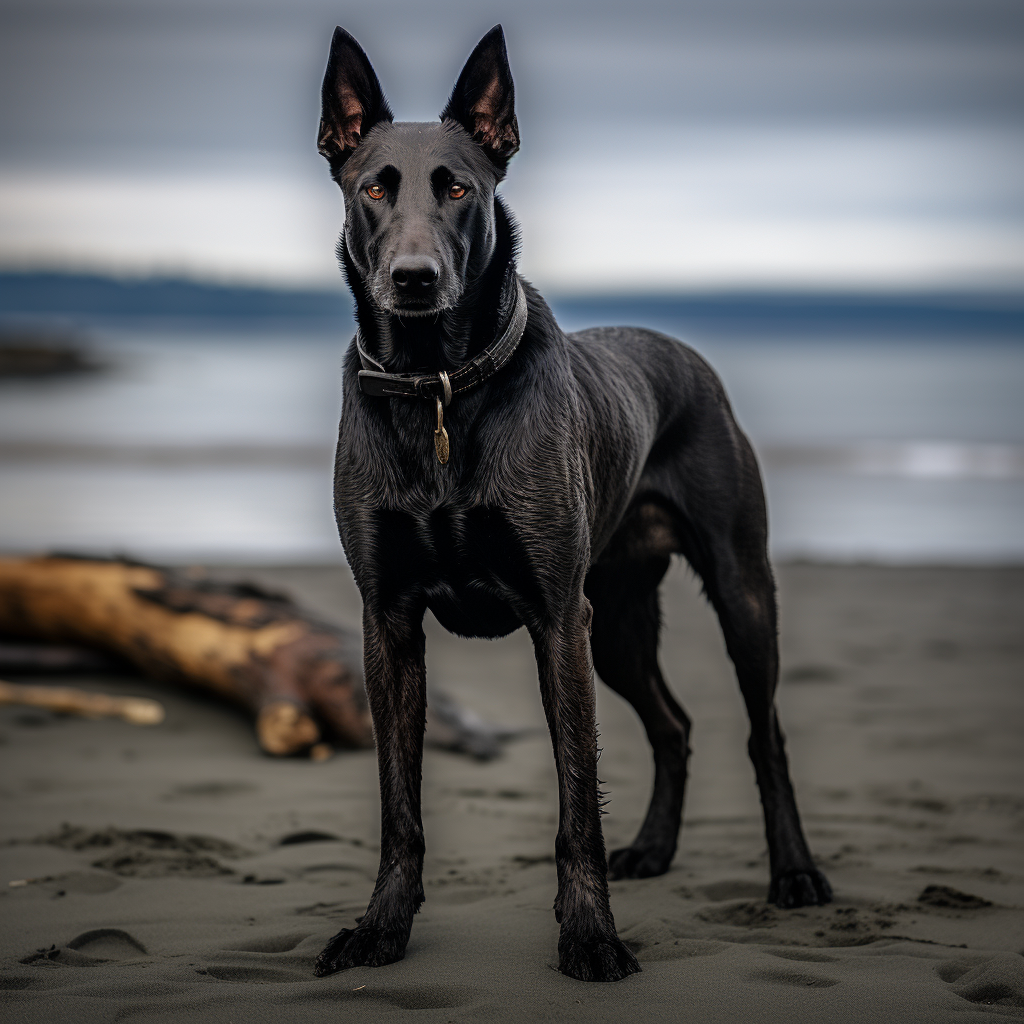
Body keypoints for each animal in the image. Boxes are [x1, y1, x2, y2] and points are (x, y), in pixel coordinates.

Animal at [313, 25, 831, 983]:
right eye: (374, 187)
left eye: (459, 188)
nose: (413, 279)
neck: (438, 388)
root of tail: (688, 356)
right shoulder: (387, 621)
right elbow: (400, 805)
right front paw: (381, 929)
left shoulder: (559, 620)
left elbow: (576, 804)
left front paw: (590, 935)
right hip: (619, 622)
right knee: (673, 726)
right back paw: (655, 850)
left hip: (736, 592)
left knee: (763, 734)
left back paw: (796, 874)